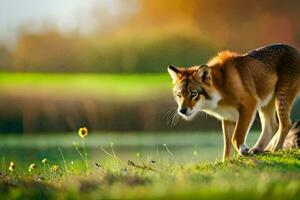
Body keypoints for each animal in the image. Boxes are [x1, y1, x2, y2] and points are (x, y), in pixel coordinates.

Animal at [168, 44, 300, 161]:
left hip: (280, 97)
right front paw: (226, 162)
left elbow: (235, 137)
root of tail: (296, 50)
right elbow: (227, 146)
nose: (182, 110)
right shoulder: (227, 116)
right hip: (267, 103)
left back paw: (275, 149)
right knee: (272, 126)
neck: (221, 86)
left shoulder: (249, 105)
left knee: (286, 124)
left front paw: (243, 150)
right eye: (179, 94)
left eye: (194, 93)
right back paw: (259, 149)